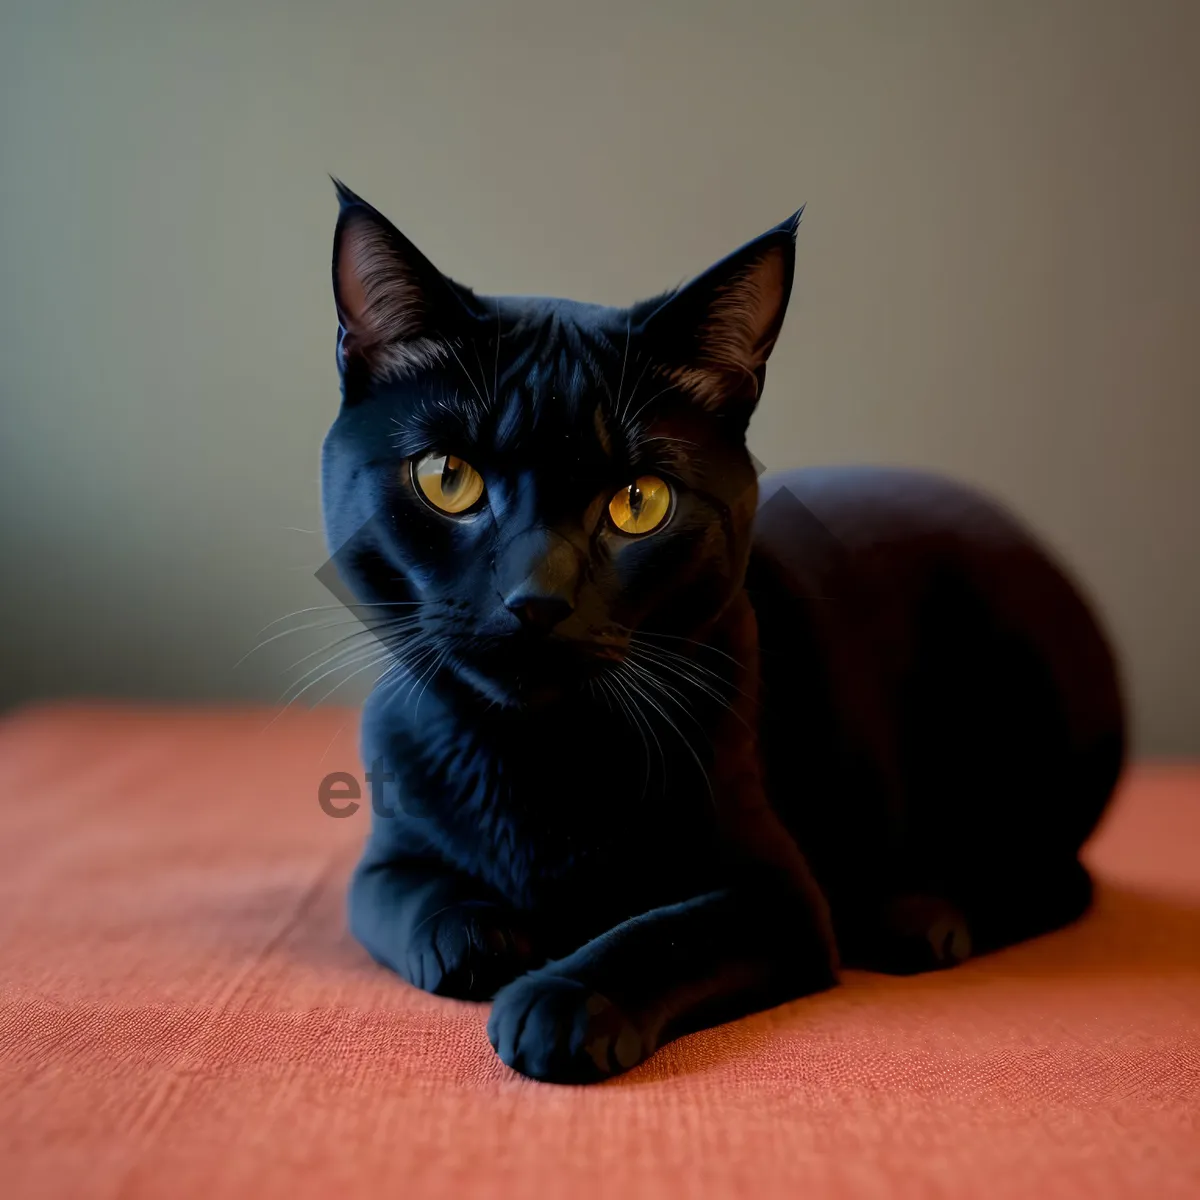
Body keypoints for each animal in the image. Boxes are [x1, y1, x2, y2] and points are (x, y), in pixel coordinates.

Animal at [321, 180, 1123, 1089]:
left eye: (639, 502)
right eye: (448, 479)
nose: (537, 598)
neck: (534, 756)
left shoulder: (778, 898)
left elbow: (660, 931)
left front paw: (562, 1000)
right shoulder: (387, 854)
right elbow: (409, 901)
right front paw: (481, 935)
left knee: (1060, 874)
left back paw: (920, 917)